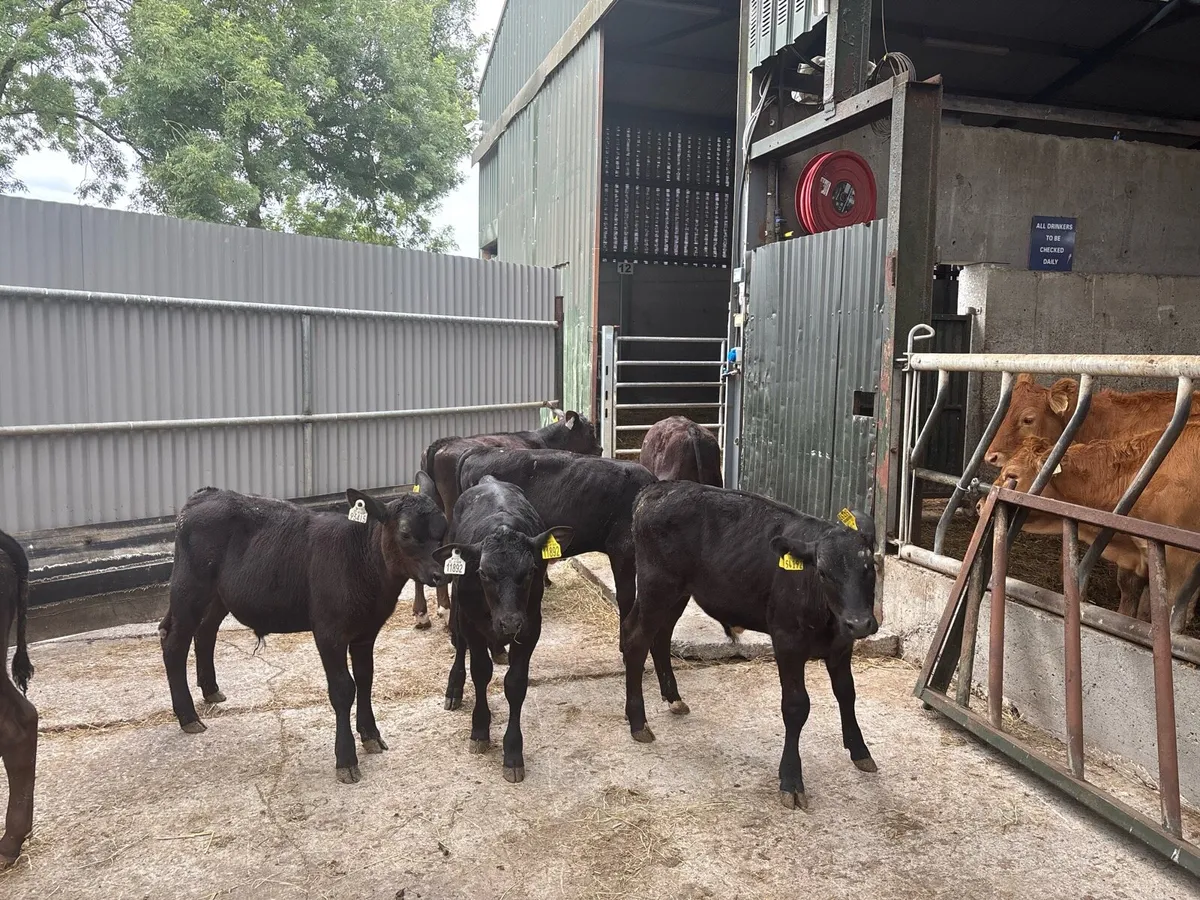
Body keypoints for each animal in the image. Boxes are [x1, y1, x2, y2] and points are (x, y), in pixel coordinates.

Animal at [159, 478, 447, 783]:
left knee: (205, 631)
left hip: (218, 596)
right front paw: (346, 759)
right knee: (174, 641)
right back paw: (188, 717)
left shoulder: (366, 632)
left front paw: (371, 735)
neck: (361, 560)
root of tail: (205, 494)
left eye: (443, 527)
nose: (441, 574)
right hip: (189, 587)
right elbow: (344, 688)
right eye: (405, 533)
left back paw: (211, 690)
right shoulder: (329, 632)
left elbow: (366, 679)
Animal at [411, 410, 601, 629]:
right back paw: (444, 607)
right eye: (590, 429)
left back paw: (422, 614)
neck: (542, 439)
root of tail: (440, 444)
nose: (600, 449)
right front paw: (545, 580)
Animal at [433, 476, 573, 783]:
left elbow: (515, 683)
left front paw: (513, 752)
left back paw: (498, 649)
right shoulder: (471, 621)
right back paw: (455, 686)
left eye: (531, 571)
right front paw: (479, 730)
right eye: (483, 573)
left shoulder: (531, 626)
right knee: (459, 644)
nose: (509, 622)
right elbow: (480, 672)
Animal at [621, 481, 880, 810]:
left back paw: (673, 698)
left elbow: (847, 693)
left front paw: (860, 751)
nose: (859, 623)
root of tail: (658, 488)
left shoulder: (841, 646)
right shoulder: (787, 640)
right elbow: (796, 706)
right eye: (823, 572)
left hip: (678, 592)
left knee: (661, 636)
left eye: (869, 567)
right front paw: (791, 780)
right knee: (636, 640)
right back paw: (638, 722)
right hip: (657, 586)